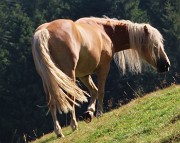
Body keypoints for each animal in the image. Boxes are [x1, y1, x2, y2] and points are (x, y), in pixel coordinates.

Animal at [31, 16, 171, 137]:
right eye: (154, 45)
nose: (166, 65)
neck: (104, 32)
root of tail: (44, 31)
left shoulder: (84, 74)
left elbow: (94, 90)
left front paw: (89, 112)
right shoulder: (104, 68)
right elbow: (101, 91)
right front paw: (98, 113)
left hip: (48, 78)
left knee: (51, 101)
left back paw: (58, 131)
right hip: (68, 75)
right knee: (70, 98)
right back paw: (73, 125)